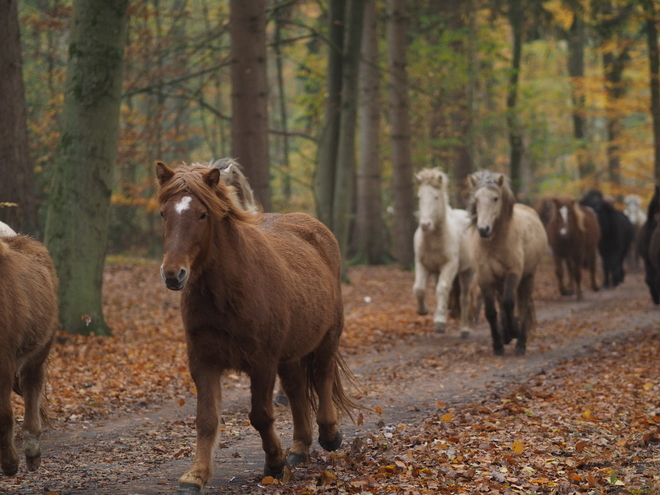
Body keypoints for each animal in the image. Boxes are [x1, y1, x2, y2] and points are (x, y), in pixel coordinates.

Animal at [155, 162, 358, 492]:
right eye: (163, 213)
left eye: (202, 215)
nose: (173, 274)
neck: (228, 292)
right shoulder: (203, 362)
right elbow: (206, 419)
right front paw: (195, 475)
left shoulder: (262, 362)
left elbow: (260, 415)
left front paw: (274, 462)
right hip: (290, 354)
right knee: (296, 391)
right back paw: (299, 449)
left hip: (327, 338)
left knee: (322, 377)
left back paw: (330, 435)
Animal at [412, 170, 474, 338]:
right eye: (419, 197)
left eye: (436, 197)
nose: (425, 225)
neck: (434, 240)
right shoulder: (422, 265)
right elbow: (419, 288)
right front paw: (423, 310)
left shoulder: (449, 265)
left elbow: (442, 288)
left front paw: (439, 322)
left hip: (468, 272)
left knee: (464, 298)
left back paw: (465, 329)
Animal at [466, 171, 548, 356]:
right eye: (476, 198)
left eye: (495, 198)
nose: (483, 229)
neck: (493, 245)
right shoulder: (484, 278)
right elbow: (491, 312)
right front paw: (498, 345)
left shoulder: (513, 273)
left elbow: (509, 302)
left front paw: (514, 331)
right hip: (498, 282)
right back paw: (506, 337)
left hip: (528, 277)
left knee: (523, 305)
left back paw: (520, 342)